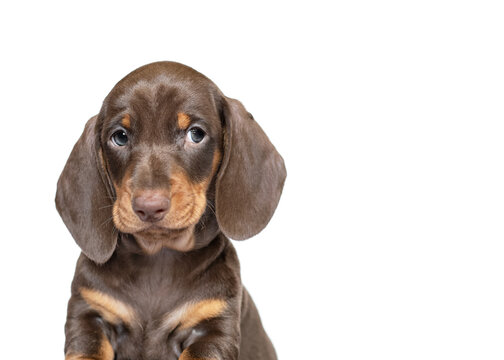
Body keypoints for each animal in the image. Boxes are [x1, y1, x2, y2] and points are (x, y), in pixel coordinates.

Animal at [56, 62, 286, 360]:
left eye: (196, 134)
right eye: (120, 137)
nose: (149, 207)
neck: (158, 257)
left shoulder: (214, 327)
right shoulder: (88, 316)